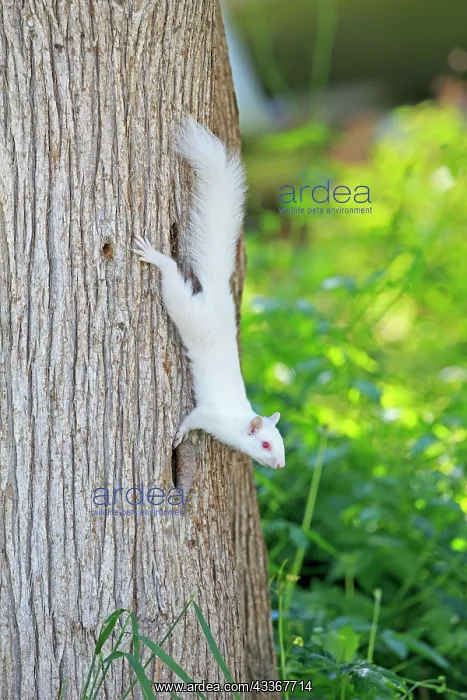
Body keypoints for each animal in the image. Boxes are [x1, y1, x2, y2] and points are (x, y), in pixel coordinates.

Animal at [132, 116, 285, 469]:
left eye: (281, 443)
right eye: (266, 444)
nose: (280, 465)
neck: (236, 421)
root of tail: (217, 295)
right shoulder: (208, 414)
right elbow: (191, 420)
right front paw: (179, 436)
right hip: (187, 310)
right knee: (171, 276)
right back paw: (156, 257)